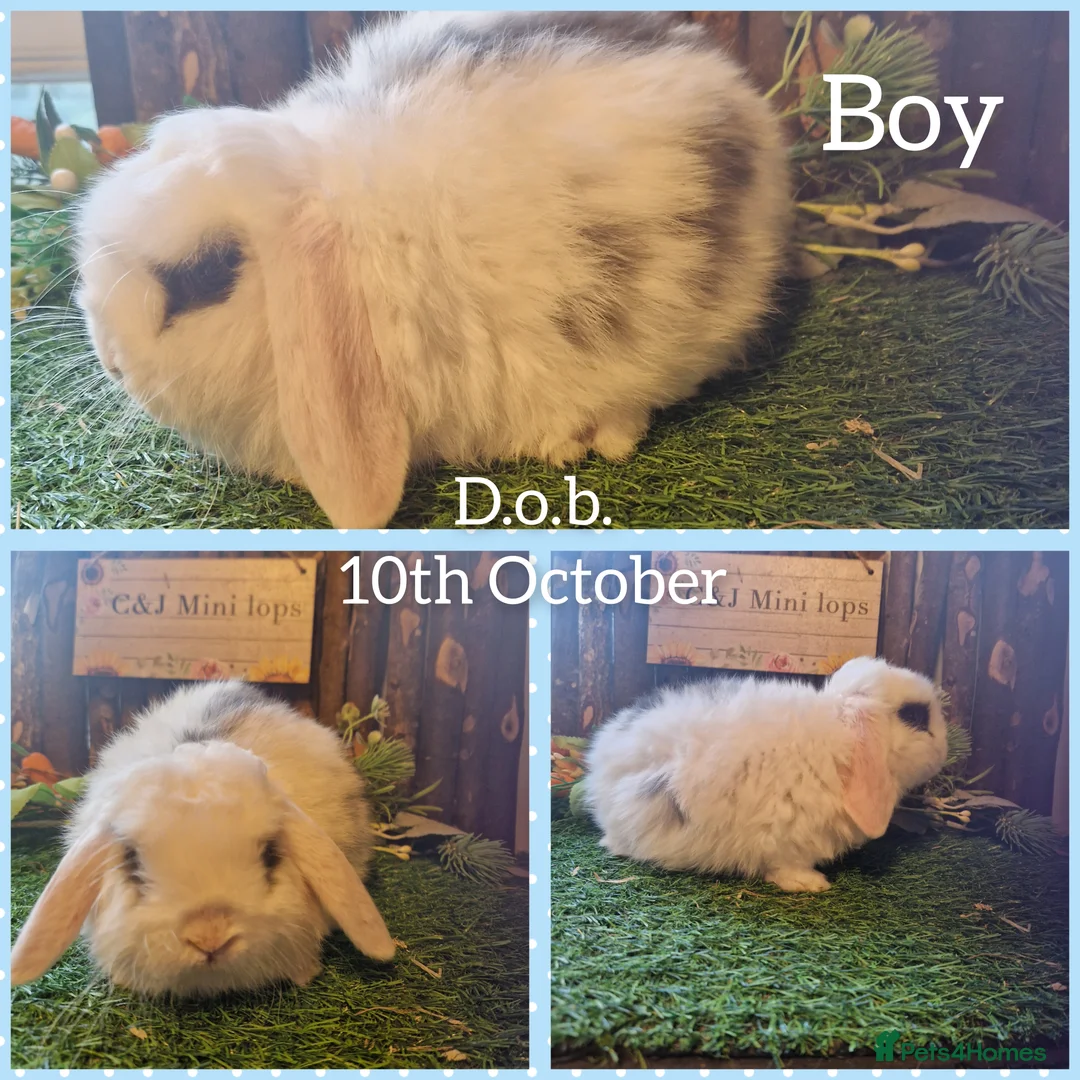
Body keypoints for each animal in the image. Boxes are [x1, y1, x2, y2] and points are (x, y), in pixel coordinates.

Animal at [582, 656, 948, 893]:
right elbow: (782, 864)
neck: (839, 745)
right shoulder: (780, 833)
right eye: (915, 717)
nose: (945, 748)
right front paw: (811, 884)